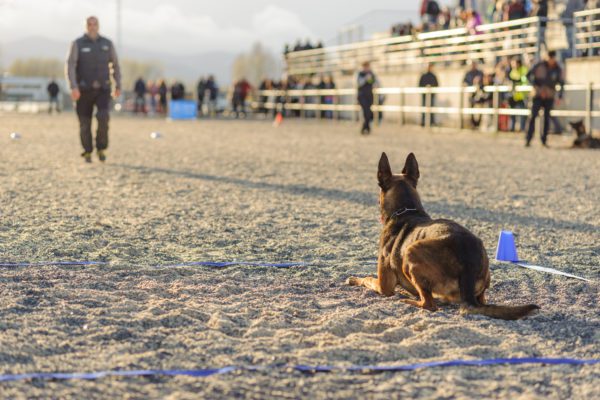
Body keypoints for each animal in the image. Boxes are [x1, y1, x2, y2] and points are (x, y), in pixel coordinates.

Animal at [347, 152, 539, 320]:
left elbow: (367, 279)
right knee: (482, 302)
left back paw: (410, 300)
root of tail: (467, 265)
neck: (407, 210)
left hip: (411, 251)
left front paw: (354, 279)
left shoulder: (383, 285)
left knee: (429, 304)